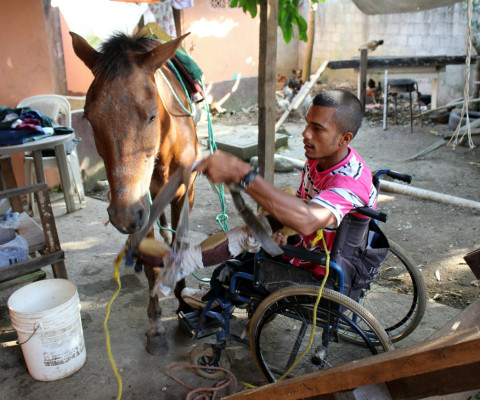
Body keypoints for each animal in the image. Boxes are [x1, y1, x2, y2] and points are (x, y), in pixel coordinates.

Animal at [70, 32, 202, 354]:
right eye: (89, 118)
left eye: (152, 116)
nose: (123, 216)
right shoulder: (144, 204)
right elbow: (153, 263)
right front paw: (155, 327)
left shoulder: (185, 192)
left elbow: (180, 246)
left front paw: (182, 301)